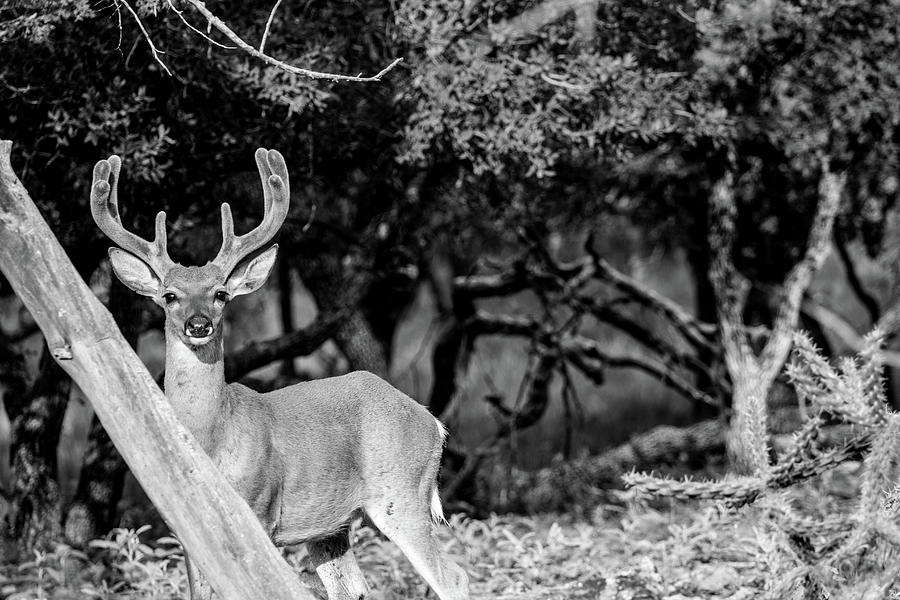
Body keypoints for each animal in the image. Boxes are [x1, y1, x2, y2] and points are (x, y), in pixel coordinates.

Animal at [89, 148, 470, 600]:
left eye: (221, 294)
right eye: (169, 295)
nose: (199, 325)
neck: (211, 440)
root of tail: (434, 422)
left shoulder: (261, 510)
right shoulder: (185, 529)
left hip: (402, 492)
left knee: (453, 577)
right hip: (332, 526)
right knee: (355, 588)